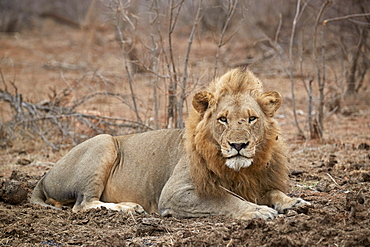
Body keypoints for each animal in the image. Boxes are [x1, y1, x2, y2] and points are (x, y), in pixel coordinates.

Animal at [31, 68, 310, 220]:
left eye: (252, 119)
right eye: (222, 119)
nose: (238, 145)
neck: (239, 170)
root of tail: (43, 177)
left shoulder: (256, 183)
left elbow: (273, 192)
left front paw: (293, 202)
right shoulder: (175, 192)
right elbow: (225, 199)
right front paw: (258, 211)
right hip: (104, 142)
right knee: (83, 204)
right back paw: (129, 207)